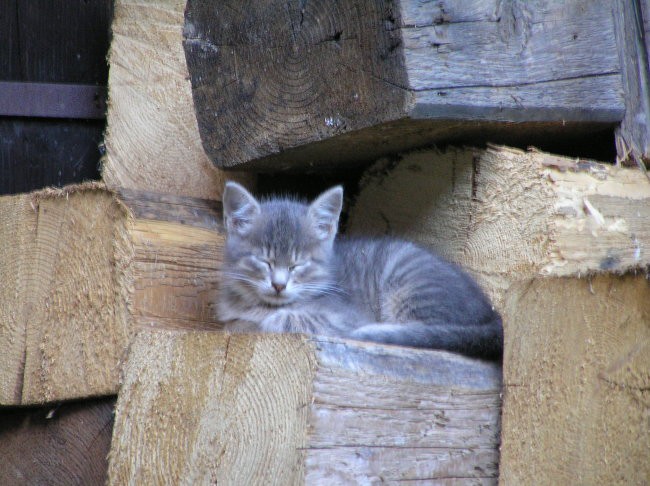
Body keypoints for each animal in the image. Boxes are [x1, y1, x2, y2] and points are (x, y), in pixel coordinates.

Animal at [216, 182, 502, 360]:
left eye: (298, 264)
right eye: (264, 261)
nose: (278, 285)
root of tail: (492, 314)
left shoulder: (346, 316)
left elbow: (287, 319)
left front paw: (269, 319)